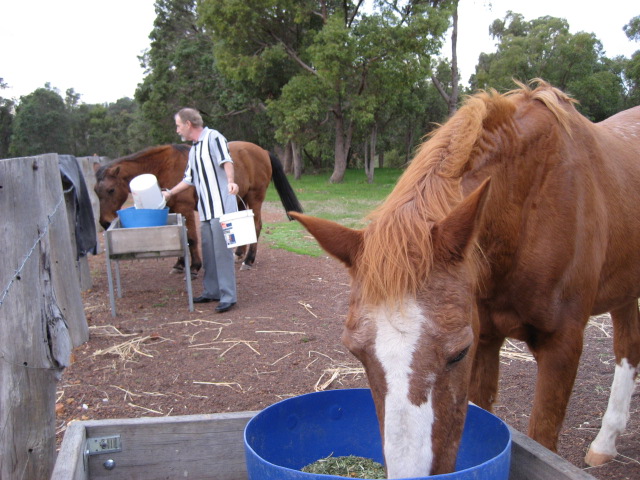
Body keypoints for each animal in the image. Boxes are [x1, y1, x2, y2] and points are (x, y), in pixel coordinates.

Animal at [96, 141, 304, 276]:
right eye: (95, 191)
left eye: (111, 189)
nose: (104, 222)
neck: (164, 166)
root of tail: (262, 151)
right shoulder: (174, 210)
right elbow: (181, 237)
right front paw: (180, 264)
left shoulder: (185, 208)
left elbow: (191, 238)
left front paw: (195, 266)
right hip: (239, 199)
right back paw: (239, 254)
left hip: (255, 198)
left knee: (256, 225)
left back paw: (248, 260)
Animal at [292, 79, 640, 476]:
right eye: (356, 352)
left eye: (458, 353)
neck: (530, 203)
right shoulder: (486, 338)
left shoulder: (560, 345)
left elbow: (543, 438)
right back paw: (606, 443)